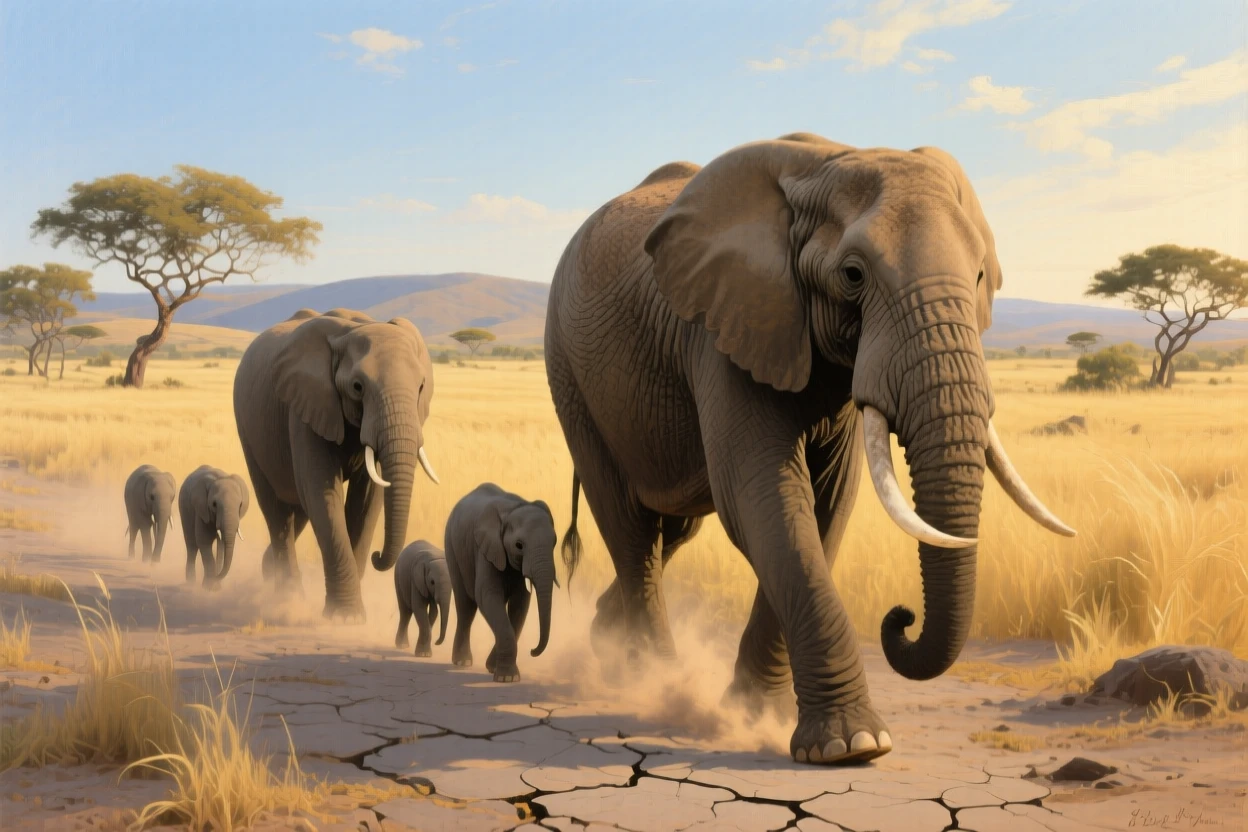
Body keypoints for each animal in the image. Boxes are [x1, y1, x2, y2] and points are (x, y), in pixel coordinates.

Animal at [233, 308, 439, 620]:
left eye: (421, 386)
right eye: (357, 387)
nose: (378, 556)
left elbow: (366, 501)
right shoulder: (305, 405)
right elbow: (322, 493)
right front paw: (345, 618)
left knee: (297, 508)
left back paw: (269, 572)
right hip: (247, 427)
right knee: (276, 510)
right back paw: (288, 598)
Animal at [444, 483, 559, 682]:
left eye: (555, 542)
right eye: (519, 545)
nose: (532, 651)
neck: (512, 510)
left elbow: (520, 604)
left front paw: (495, 669)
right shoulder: (485, 549)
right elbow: (487, 596)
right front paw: (507, 678)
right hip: (452, 547)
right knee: (465, 606)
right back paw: (462, 662)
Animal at [544, 133, 1076, 765]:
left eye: (977, 277)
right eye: (853, 275)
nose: (900, 617)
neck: (830, 159)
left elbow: (825, 506)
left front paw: (757, 713)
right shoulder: (726, 329)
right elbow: (763, 499)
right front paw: (853, 745)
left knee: (670, 528)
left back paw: (610, 643)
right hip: (568, 370)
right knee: (629, 527)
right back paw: (657, 684)